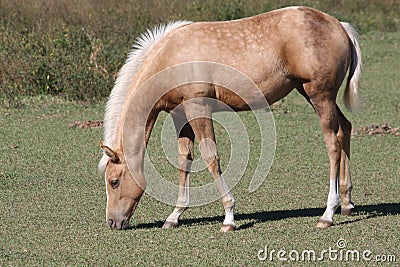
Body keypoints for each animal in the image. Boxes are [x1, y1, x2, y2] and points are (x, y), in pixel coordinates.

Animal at [98, 6, 360, 232]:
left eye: (114, 182)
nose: (112, 222)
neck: (170, 58)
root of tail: (340, 26)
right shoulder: (180, 114)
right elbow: (185, 160)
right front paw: (174, 216)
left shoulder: (199, 109)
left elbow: (210, 157)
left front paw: (229, 217)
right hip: (311, 93)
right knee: (344, 129)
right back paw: (346, 202)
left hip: (319, 95)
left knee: (332, 144)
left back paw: (328, 213)